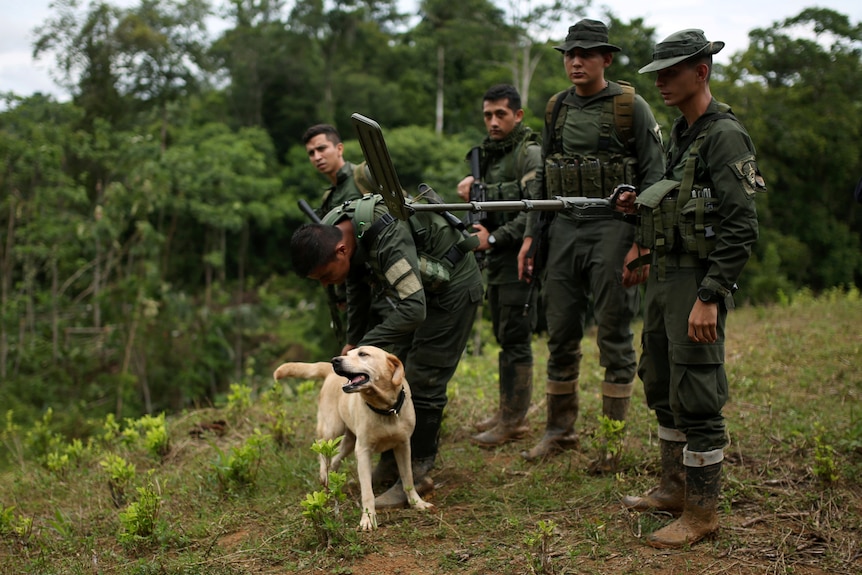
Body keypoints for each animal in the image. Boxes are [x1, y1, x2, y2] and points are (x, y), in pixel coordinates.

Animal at [274, 346, 432, 532]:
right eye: (348, 354)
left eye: (363, 354)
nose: (335, 360)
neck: (384, 410)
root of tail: (329, 371)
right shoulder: (363, 451)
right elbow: (367, 492)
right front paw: (368, 519)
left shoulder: (403, 445)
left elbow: (408, 478)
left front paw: (417, 503)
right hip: (331, 430)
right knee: (321, 451)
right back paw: (324, 477)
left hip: (348, 442)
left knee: (334, 460)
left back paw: (331, 481)